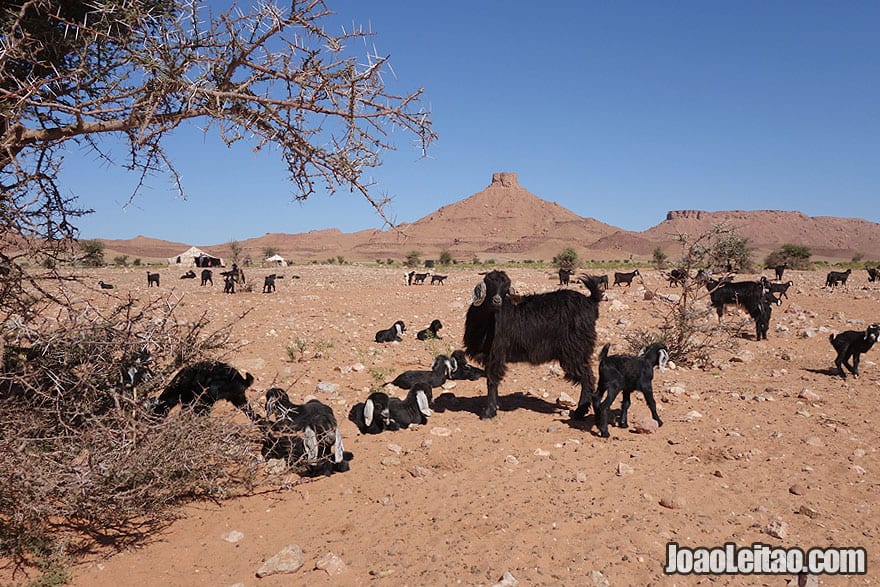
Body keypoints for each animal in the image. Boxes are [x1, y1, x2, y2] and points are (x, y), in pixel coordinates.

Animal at [464, 268, 600, 420]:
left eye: (506, 287)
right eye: (489, 281)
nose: (497, 300)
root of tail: (590, 301)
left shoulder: (496, 354)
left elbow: (491, 381)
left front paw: (489, 411)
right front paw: (495, 406)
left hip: (575, 351)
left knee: (588, 378)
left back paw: (579, 412)